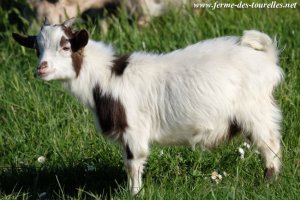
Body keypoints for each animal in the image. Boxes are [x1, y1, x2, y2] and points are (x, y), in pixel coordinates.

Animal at [12, 18, 284, 194]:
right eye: (36, 48)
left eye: (66, 46)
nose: (41, 68)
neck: (105, 77)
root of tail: (267, 57)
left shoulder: (133, 130)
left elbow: (133, 163)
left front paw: (134, 193)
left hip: (256, 110)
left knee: (270, 144)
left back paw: (268, 183)